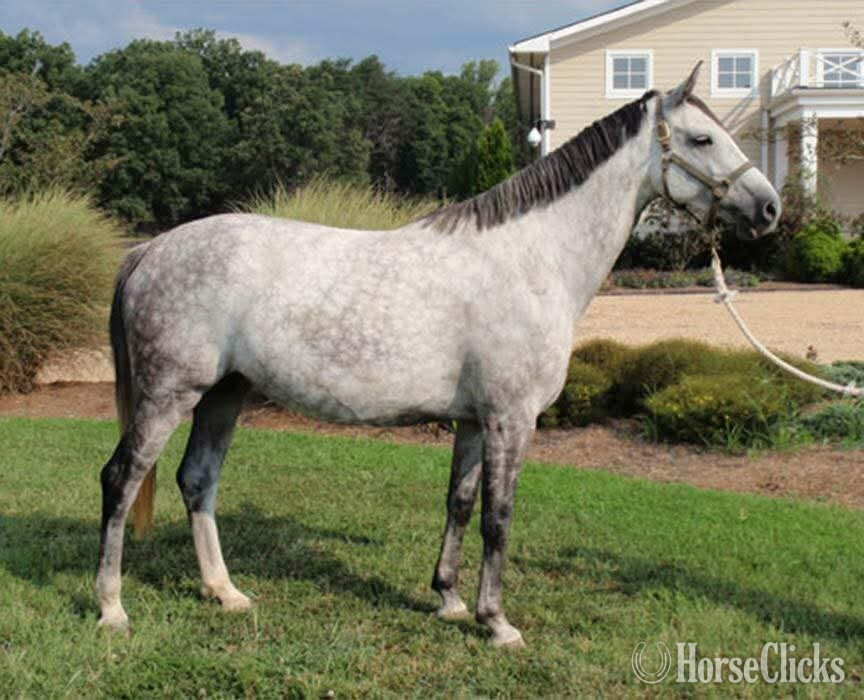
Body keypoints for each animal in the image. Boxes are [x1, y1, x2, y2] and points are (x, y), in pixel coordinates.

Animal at [95, 63, 780, 648]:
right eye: (701, 138)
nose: (770, 207)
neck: (531, 258)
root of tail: (150, 250)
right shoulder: (511, 419)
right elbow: (499, 517)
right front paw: (497, 622)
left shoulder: (475, 422)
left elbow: (459, 502)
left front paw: (449, 600)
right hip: (169, 393)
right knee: (122, 478)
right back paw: (111, 607)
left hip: (224, 394)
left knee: (197, 479)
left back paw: (225, 592)